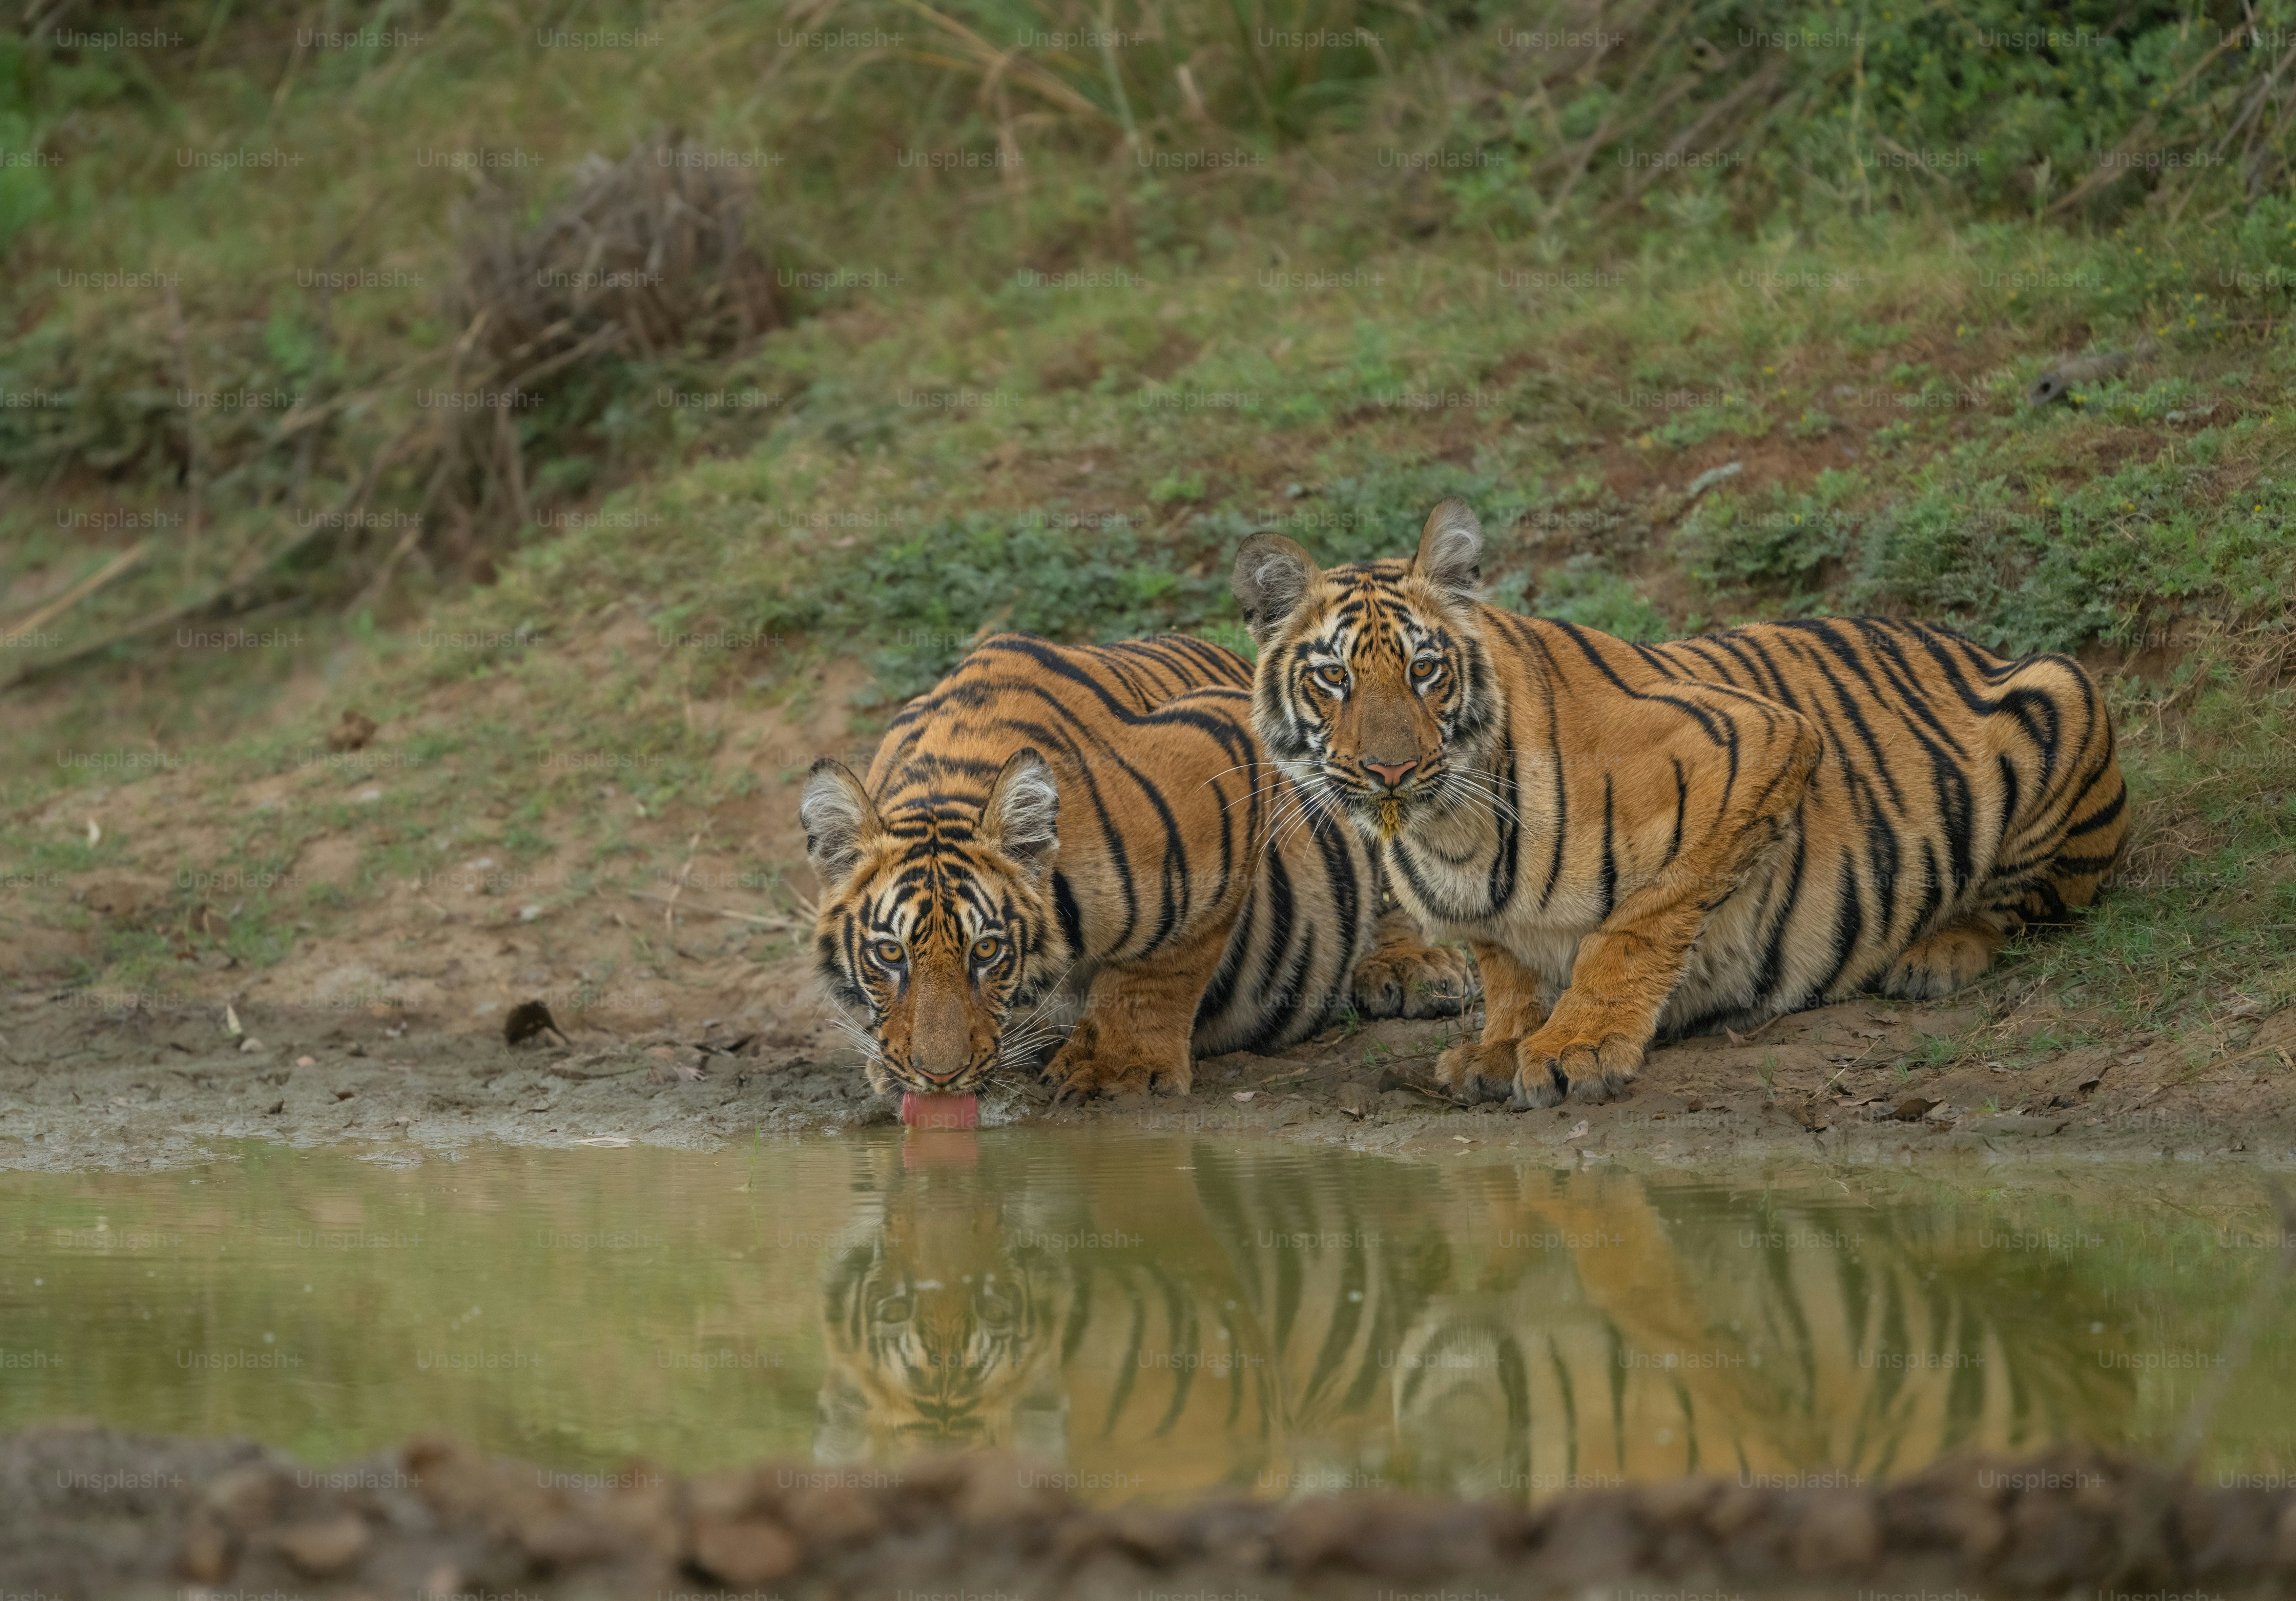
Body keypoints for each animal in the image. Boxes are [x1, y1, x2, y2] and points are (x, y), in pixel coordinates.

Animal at [800, 633, 1469, 1101]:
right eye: (890, 955)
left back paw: (1414, 968)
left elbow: (1161, 965)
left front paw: (1118, 1069)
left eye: (987, 951)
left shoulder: (1221, 758)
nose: (939, 1077)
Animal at [1231, 498, 2129, 1109]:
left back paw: (1933, 956)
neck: (1446, 833)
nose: (1390, 770)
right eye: (1334, 677)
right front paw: (1500, 1046)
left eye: (1423, 670)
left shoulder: (1760, 741)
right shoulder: (1485, 923)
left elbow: (1635, 925)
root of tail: (1973, 641)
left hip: (2061, 694)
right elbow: (1508, 967)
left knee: (2022, 905)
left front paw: (1579, 1046)